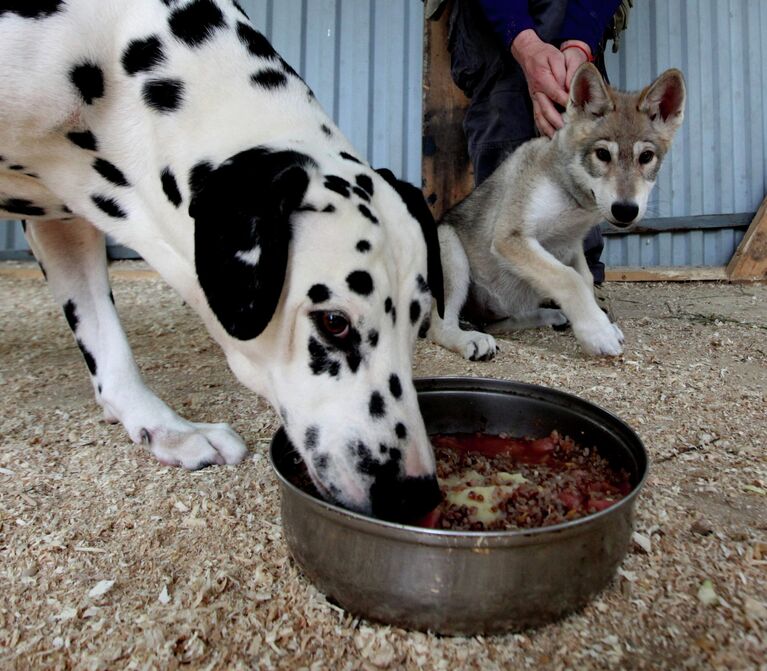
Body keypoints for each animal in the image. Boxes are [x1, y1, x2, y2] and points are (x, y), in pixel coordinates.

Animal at [1, 0, 444, 524]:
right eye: (334, 322)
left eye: (419, 322)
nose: (415, 495)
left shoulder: (65, 217)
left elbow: (105, 341)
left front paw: (165, 429)